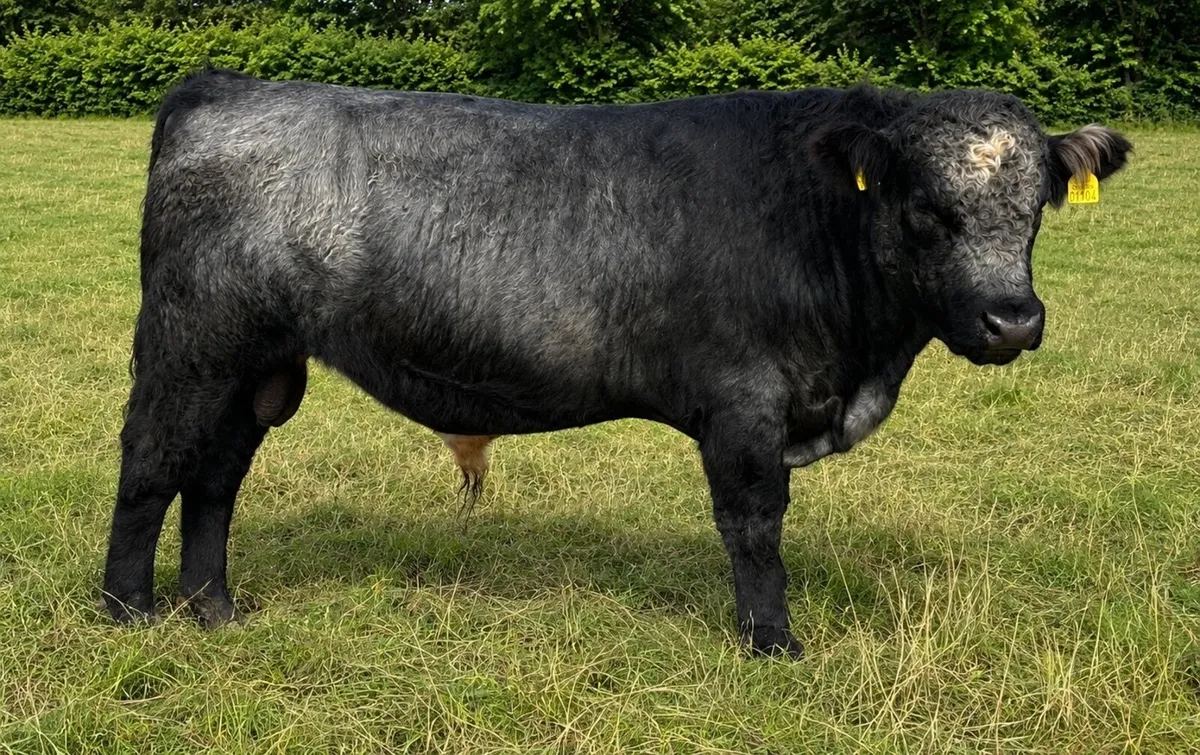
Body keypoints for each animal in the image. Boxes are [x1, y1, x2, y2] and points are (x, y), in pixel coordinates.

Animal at [102, 69, 1130, 657]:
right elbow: (754, 526)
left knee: (216, 478)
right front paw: (774, 645)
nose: (1012, 320)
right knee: (151, 465)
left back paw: (215, 609)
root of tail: (225, 85)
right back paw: (128, 613)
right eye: (924, 209)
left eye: (1038, 205)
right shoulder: (744, 405)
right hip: (190, 344)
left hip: (258, 368)